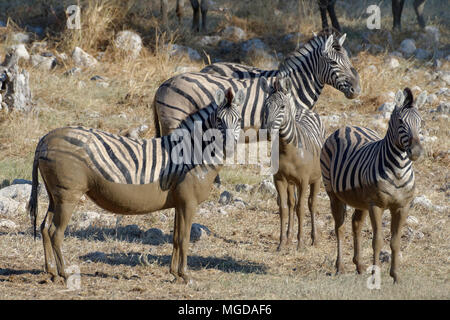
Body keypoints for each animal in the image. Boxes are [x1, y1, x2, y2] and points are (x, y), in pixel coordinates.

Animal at [26, 87, 244, 282]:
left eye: (239, 121)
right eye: (218, 120)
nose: (229, 148)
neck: (192, 155)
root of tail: (45, 138)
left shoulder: (179, 203)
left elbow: (175, 238)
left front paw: (174, 274)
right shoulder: (188, 202)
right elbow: (184, 238)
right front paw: (185, 276)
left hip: (55, 195)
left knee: (44, 228)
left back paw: (52, 273)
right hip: (68, 196)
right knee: (55, 233)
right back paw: (64, 273)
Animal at [258, 76, 326, 251]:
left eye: (282, 107)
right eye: (265, 107)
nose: (267, 132)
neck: (287, 150)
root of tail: (304, 110)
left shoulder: (303, 180)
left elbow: (301, 208)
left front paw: (300, 243)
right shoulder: (279, 179)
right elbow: (283, 208)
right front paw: (282, 243)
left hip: (317, 179)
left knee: (311, 204)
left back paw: (314, 239)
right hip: (290, 182)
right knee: (291, 204)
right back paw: (289, 237)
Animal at [320, 87, 426, 282]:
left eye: (421, 121)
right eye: (401, 121)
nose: (416, 152)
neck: (398, 169)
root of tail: (349, 126)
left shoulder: (403, 206)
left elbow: (395, 241)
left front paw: (396, 276)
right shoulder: (376, 205)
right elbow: (377, 241)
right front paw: (376, 275)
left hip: (360, 200)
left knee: (355, 224)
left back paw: (359, 266)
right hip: (333, 193)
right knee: (340, 228)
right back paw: (340, 267)